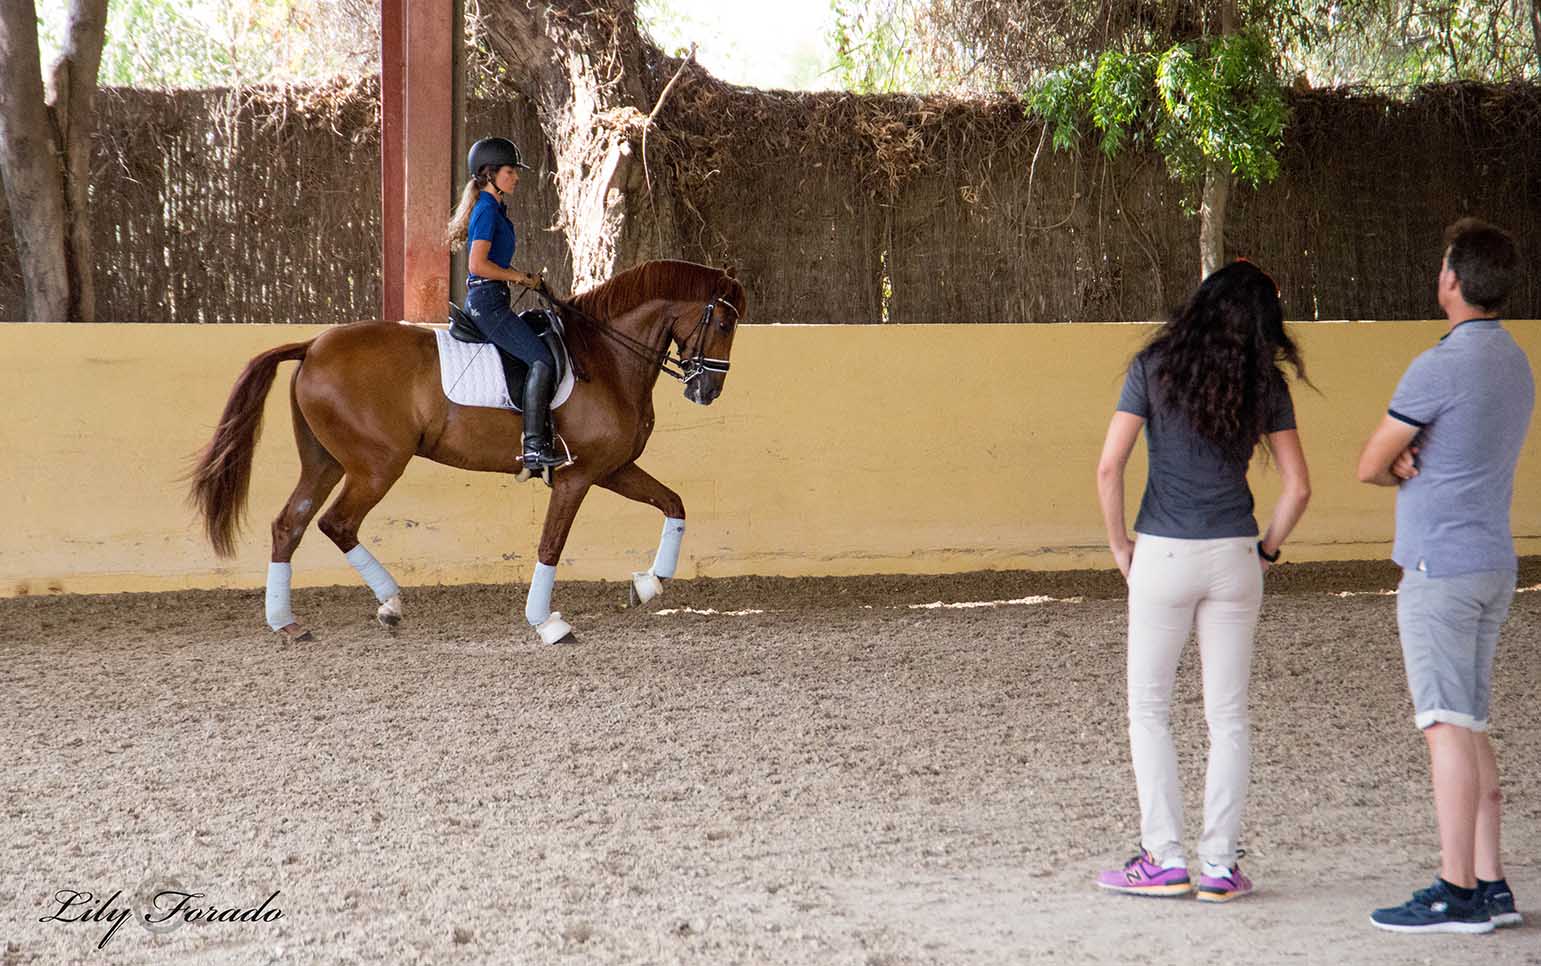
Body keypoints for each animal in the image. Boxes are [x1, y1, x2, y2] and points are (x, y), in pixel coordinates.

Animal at [189, 260, 742, 647]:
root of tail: (313, 345)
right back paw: (387, 604)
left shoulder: (613, 468)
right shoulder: (577, 476)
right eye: (723, 324)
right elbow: (551, 545)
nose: (709, 390)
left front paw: (648, 585)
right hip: (376, 465)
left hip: (325, 463)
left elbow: (674, 504)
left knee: (292, 524)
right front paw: (547, 624)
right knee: (336, 523)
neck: (606, 356)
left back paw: (290, 622)